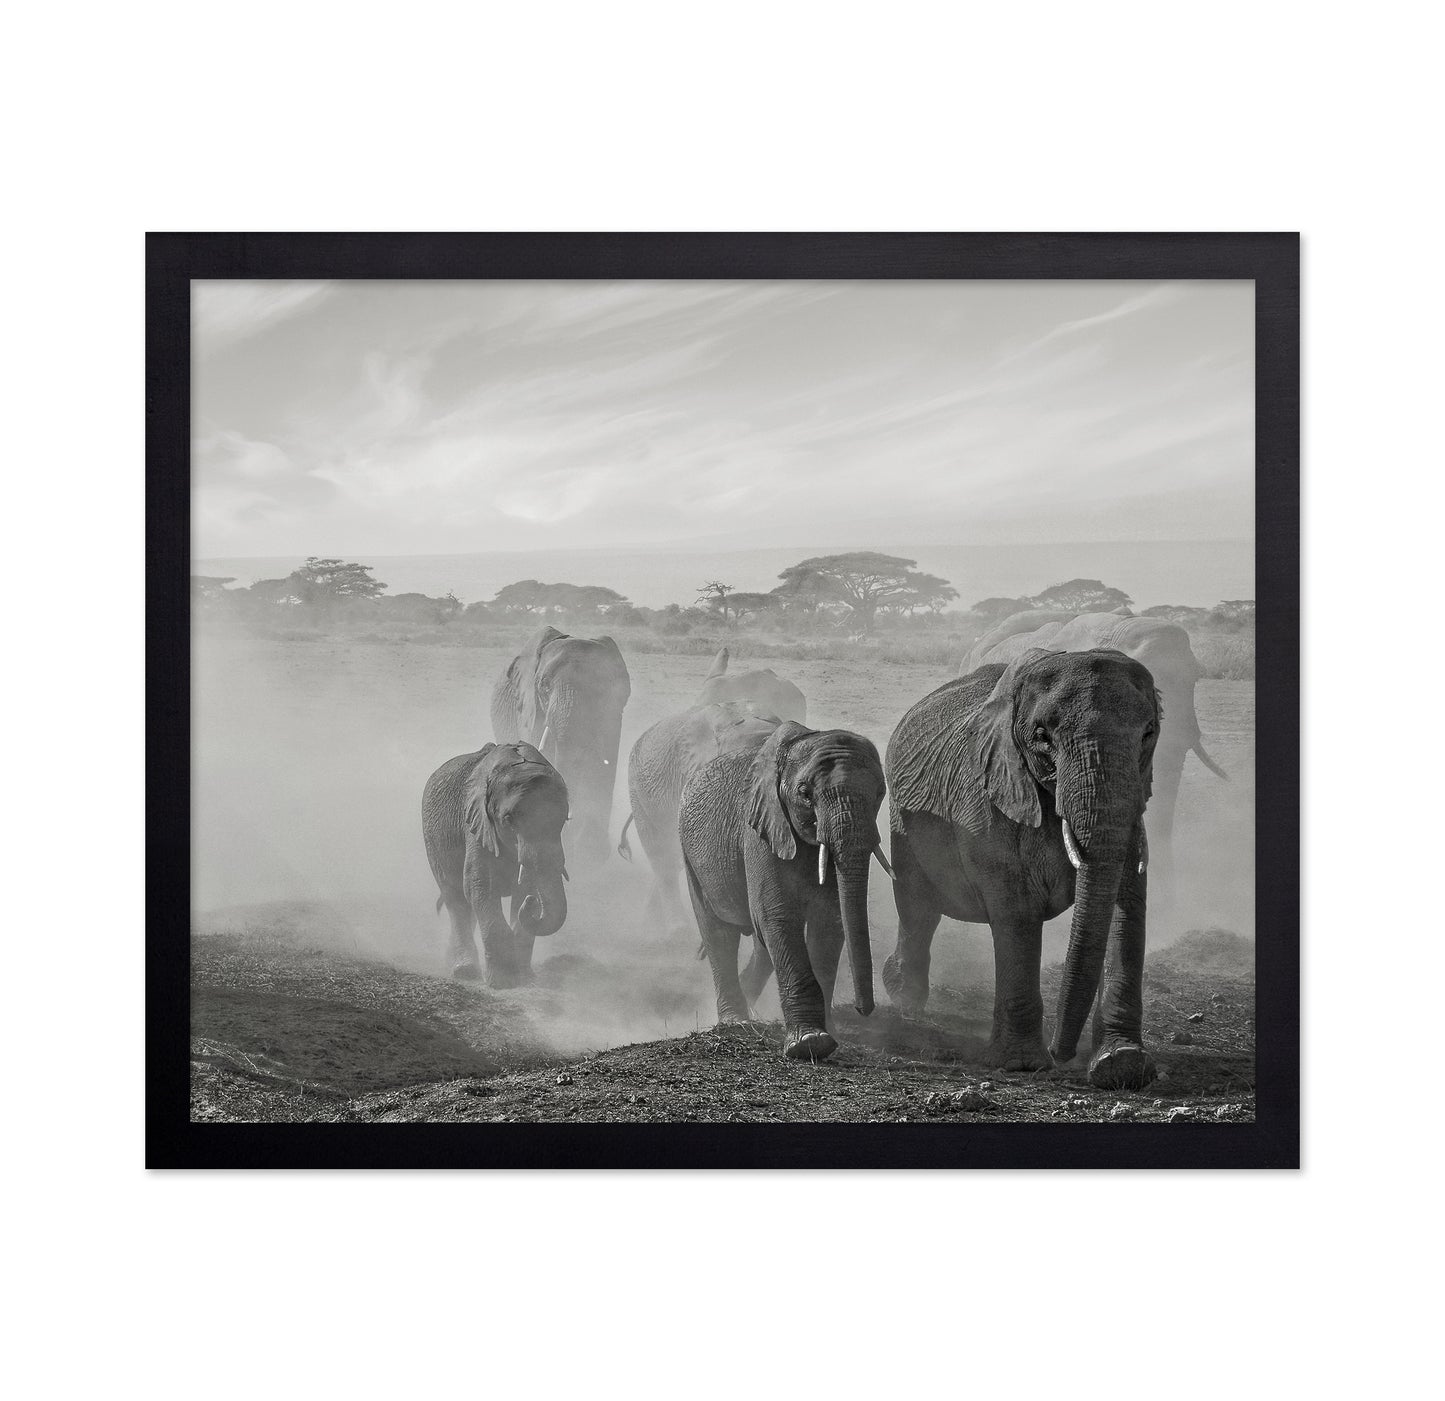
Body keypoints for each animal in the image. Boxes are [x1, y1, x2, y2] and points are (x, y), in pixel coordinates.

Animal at [422, 742, 569, 986]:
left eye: (564, 819)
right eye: (508, 820)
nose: (533, 903)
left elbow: (525, 886)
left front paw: (524, 978)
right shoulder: (476, 821)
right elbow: (480, 884)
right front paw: (503, 983)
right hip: (433, 842)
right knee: (456, 899)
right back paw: (464, 971)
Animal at [490, 626, 630, 865]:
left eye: (600, 689)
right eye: (544, 686)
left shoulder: (612, 712)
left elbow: (604, 767)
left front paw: (590, 854)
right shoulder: (531, 709)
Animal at [678, 720, 888, 1060]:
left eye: (881, 792)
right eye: (804, 794)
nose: (863, 1009)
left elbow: (829, 922)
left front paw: (827, 1033)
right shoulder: (760, 829)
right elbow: (779, 916)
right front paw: (810, 1043)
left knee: (760, 943)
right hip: (689, 854)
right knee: (719, 933)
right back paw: (736, 1021)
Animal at [884, 648, 1161, 1089]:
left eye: (1148, 733)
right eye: (1043, 736)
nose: (1061, 1053)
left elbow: (1128, 906)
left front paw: (1122, 1065)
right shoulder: (987, 801)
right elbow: (1016, 913)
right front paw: (1021, 1065)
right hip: (902, 818)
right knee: (917, 906)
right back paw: (904, 996)